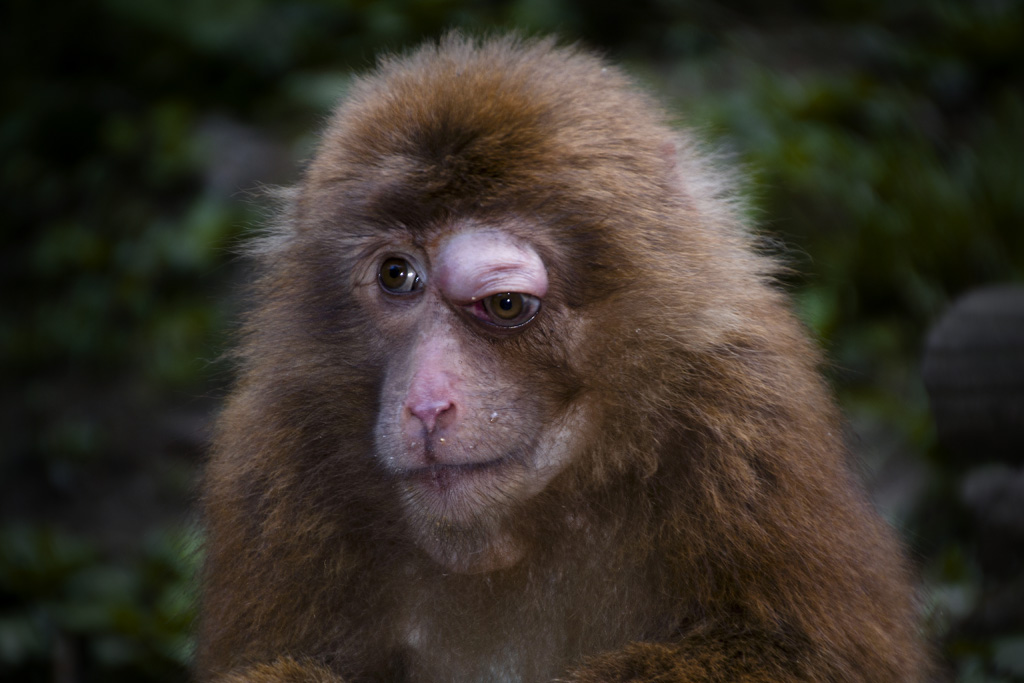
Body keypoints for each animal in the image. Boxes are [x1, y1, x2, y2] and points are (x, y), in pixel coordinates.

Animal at [195, 33, 933, 683]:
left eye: (504, 303)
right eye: (396, 276)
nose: (427, 404)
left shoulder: (748, 420)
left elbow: (800, 655)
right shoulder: (278, 451)